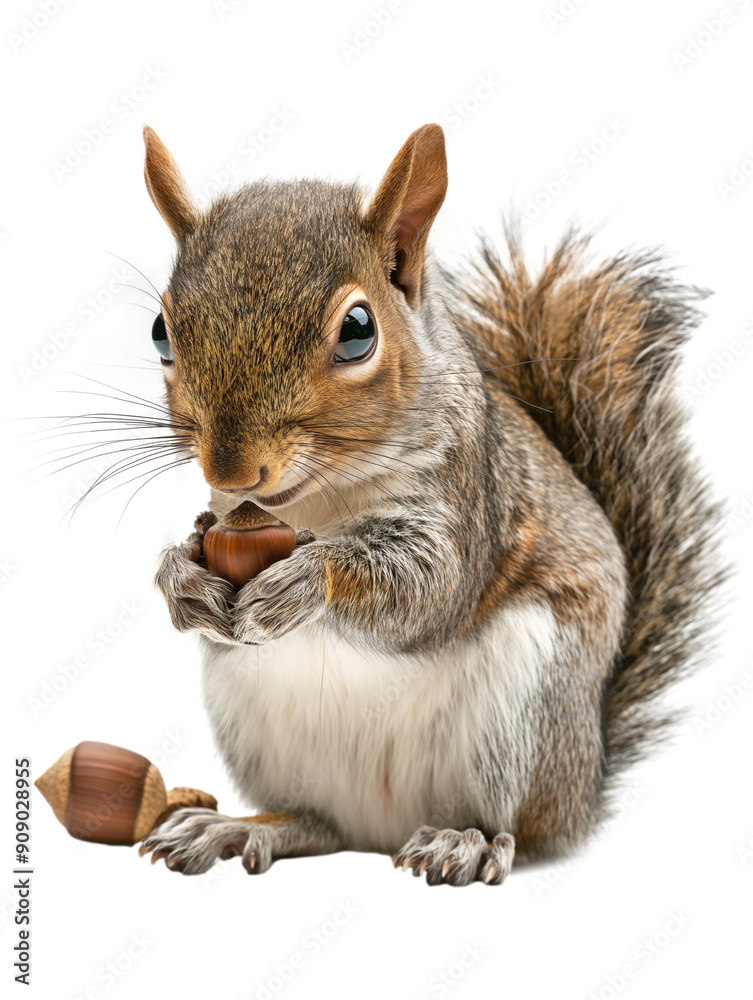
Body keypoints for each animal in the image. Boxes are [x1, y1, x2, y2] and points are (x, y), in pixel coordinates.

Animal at [137, 123, 721, 885]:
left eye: (358, 330)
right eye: (159, 331)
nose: (231, 467)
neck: (317, 504)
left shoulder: (467, 495)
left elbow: (430, 587)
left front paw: (306, 580)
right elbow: (200, 540)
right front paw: (181, 579)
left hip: (525, 712)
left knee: (519, 830)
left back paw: (464, 842)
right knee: (319, 823)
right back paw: (236, 828)